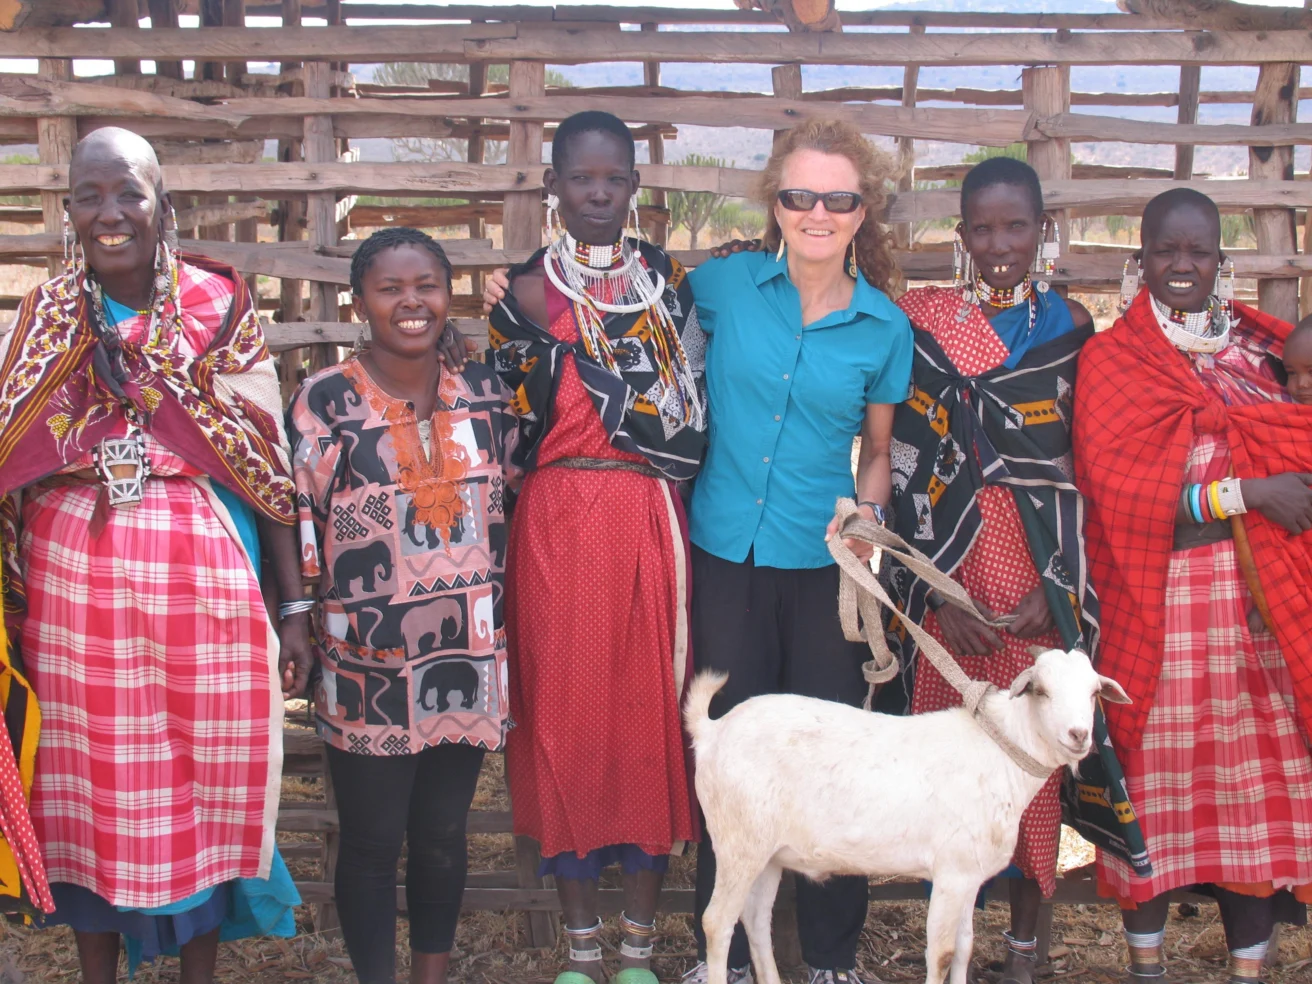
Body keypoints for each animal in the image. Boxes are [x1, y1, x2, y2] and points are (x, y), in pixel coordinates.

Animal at [687, 648, 1128, 984]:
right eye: (1041, 690)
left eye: (1094, 693)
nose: (1079, 735)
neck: (998, 753)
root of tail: (712, 731)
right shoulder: (951, 874)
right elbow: (943, 952)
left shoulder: (969, 876)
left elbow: (965, 947)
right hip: (737, 842)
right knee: (717, 922)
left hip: (768, 852)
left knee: (755, 920)